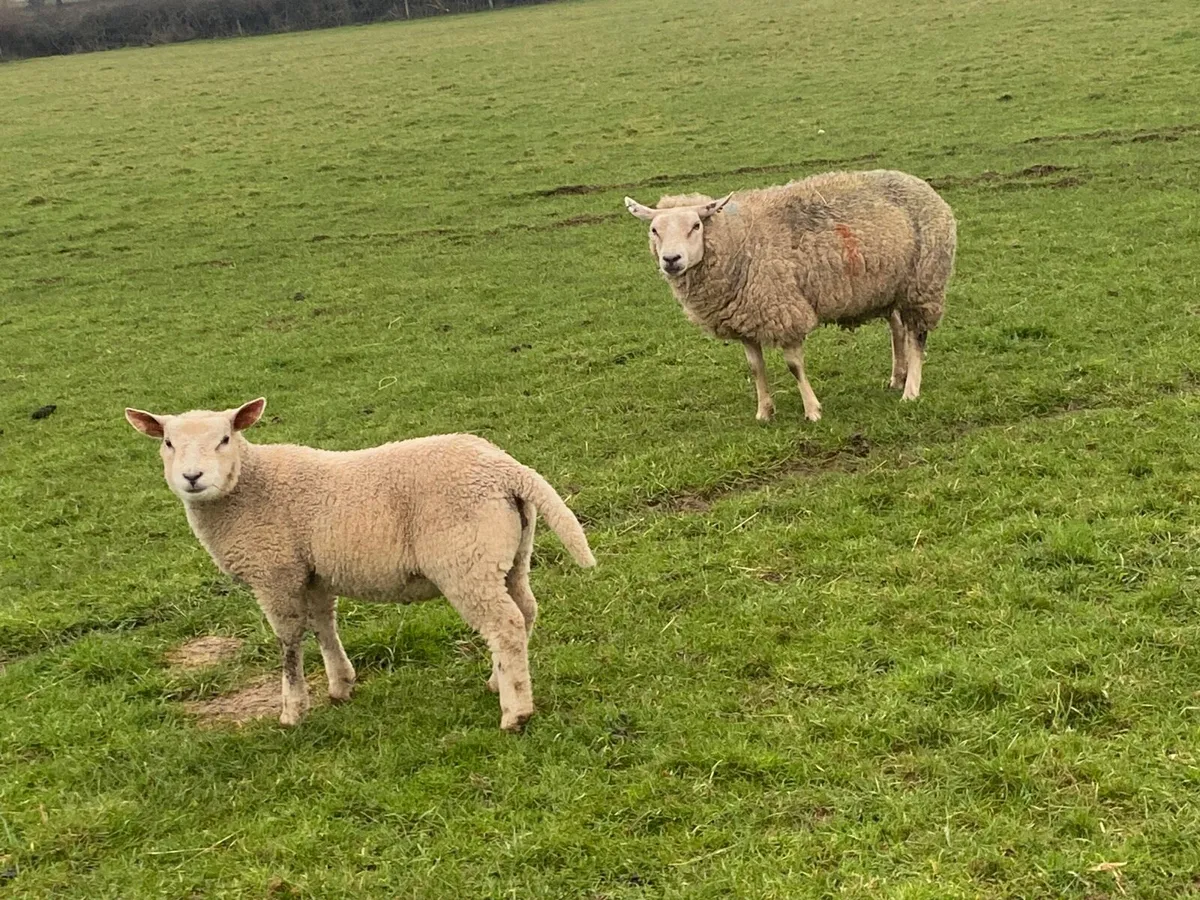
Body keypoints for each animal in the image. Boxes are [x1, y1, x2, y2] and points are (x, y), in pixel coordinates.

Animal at [124, 397, 596, 732]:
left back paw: (515, 713)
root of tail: (505, 469)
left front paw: (292, 710)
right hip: (511, 556)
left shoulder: (275, 572)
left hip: (465, 562)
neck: (249, 487)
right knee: (526, 611)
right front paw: (340, 685)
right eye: (167, 443)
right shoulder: (312, 573)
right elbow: (323, 625)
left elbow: (289, 642)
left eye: (224, 439)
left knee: (506, 625)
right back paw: (500, 680)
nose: (192, 477)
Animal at [623, 169, 957, 422]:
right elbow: (755, 368)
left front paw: (812, 411)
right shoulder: (746, 317)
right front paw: (764, 412)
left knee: (916, 336)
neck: (740, 241)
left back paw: (910, 390)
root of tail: (919, 182)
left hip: (923, 282)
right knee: (897, 329)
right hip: (891, 287)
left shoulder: (784, 311)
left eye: (695, 225)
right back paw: (897, 377)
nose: (671, 260)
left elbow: (794, 367)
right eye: (654, 230)